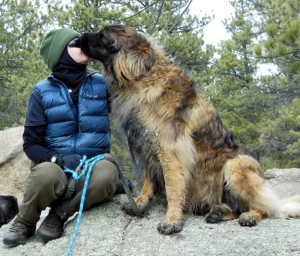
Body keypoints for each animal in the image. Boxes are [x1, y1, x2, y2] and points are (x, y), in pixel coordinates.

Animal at [78, 25, 300, 235]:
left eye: (102, 36)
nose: (78, 38)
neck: (142, 77)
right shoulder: (143, 144)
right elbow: (148, 178)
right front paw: (140, 202)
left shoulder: (170, 149)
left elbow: (172, 186)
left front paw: (172, 220)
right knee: (237, 207)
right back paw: (219, 213)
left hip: (235, 165)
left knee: (266, 207)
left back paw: (250, 216)